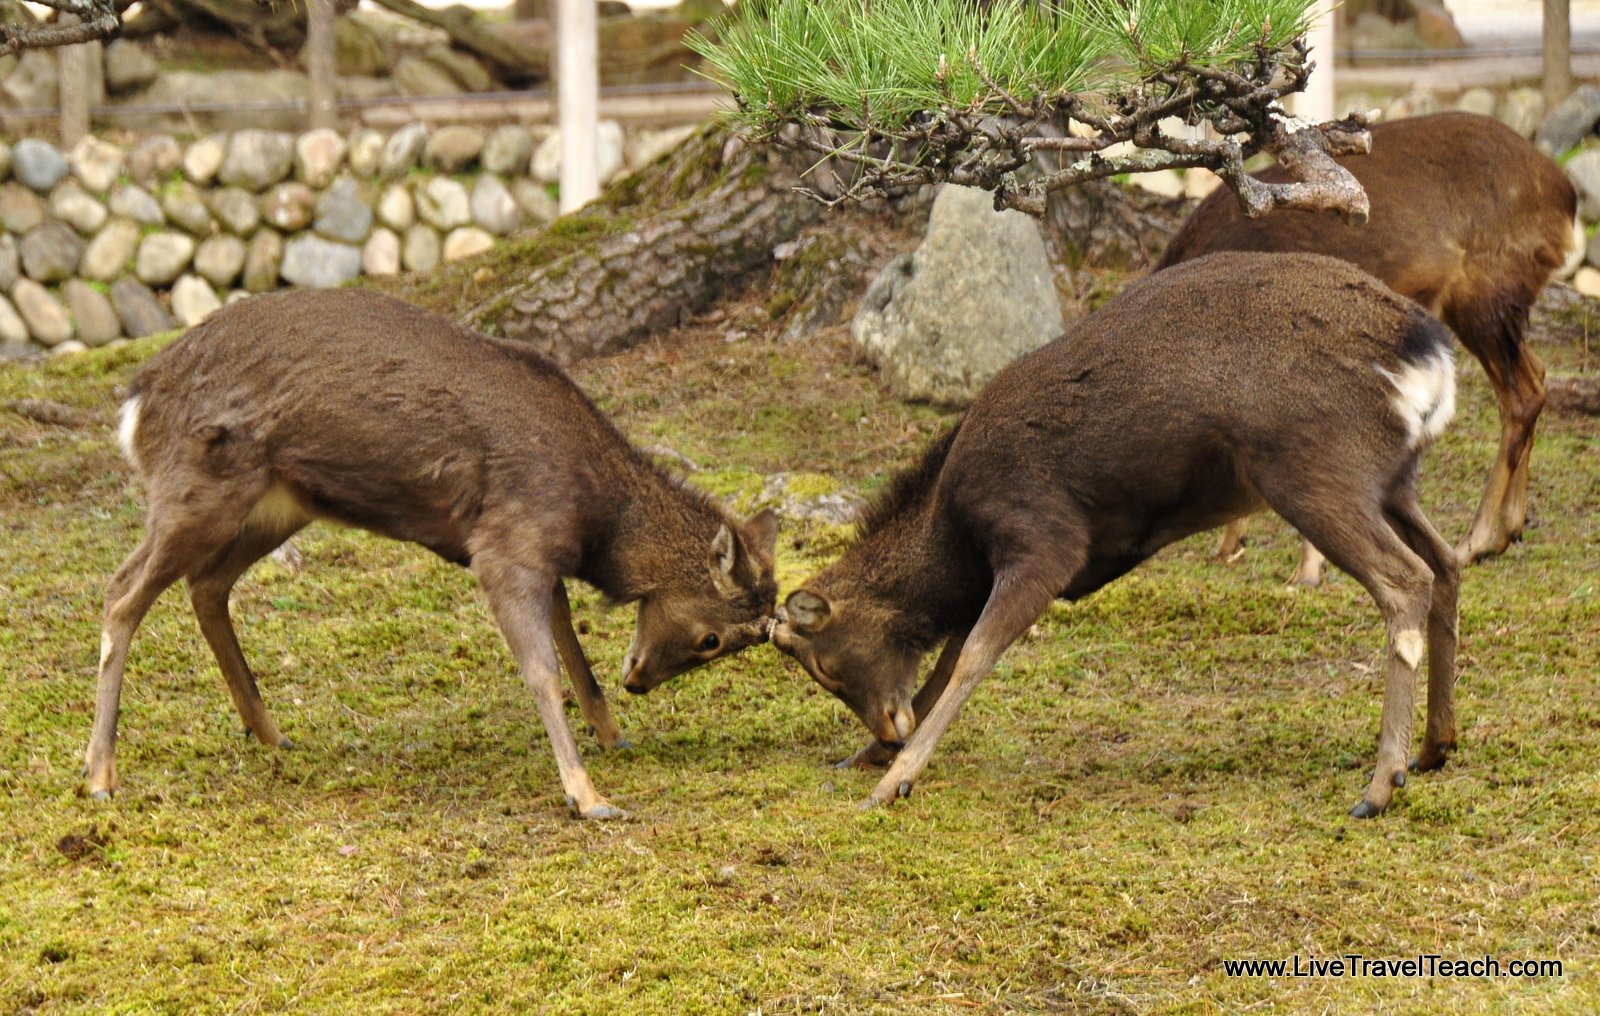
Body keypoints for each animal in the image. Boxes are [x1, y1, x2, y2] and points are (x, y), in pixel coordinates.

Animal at [88, 289, 779, 820]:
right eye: (715, 639)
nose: (638, 683)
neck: (595, 521)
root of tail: (137, 401)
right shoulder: (505, 546)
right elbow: (544, 670)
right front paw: (588, 796)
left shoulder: (537, 554)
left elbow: (574, 651)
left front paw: (613, 737)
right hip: (195, 488)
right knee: (122, 591)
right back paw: (100, 775)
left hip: (279, 504)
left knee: (206, 586)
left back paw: (270, 734)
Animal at [773, 252, 1460, 819]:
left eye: (825, 665)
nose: (888, 733)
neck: (957, 536)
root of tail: (1430, 355)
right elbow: (945, 661)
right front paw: (867, 758)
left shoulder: (1044, 540)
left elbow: (969, 656)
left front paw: (892, 781)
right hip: (1393, 480)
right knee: (1448, 563)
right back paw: (1434, 748)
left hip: (1313, 467)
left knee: (1406, 579)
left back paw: (1378, 785)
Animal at [1155, 111, 1576, 585]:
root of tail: (1565, 195)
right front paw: (1232, 543)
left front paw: (1307, 570)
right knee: (1537, 375)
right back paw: (1509, 530)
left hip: (1485, 292)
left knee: (1522, 395)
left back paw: (1476, 540)